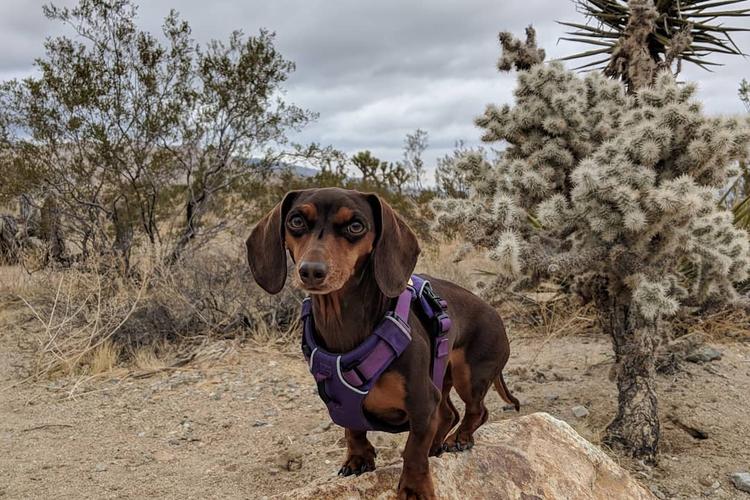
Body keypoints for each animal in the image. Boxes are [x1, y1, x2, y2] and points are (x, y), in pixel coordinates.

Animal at [247, 188, 516, 500]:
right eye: (296, 221)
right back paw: (438, 444)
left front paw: (414, 488)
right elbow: (352, 429)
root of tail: (496, 313)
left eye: (355, 226)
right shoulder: (340, 402)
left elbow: (413, 450)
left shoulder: (423, 403)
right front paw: (358, 458)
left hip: (470, 375)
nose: (312, 271)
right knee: (449, 413)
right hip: (443, 378)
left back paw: (458, 439)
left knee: (476, 411)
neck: (344, 326)